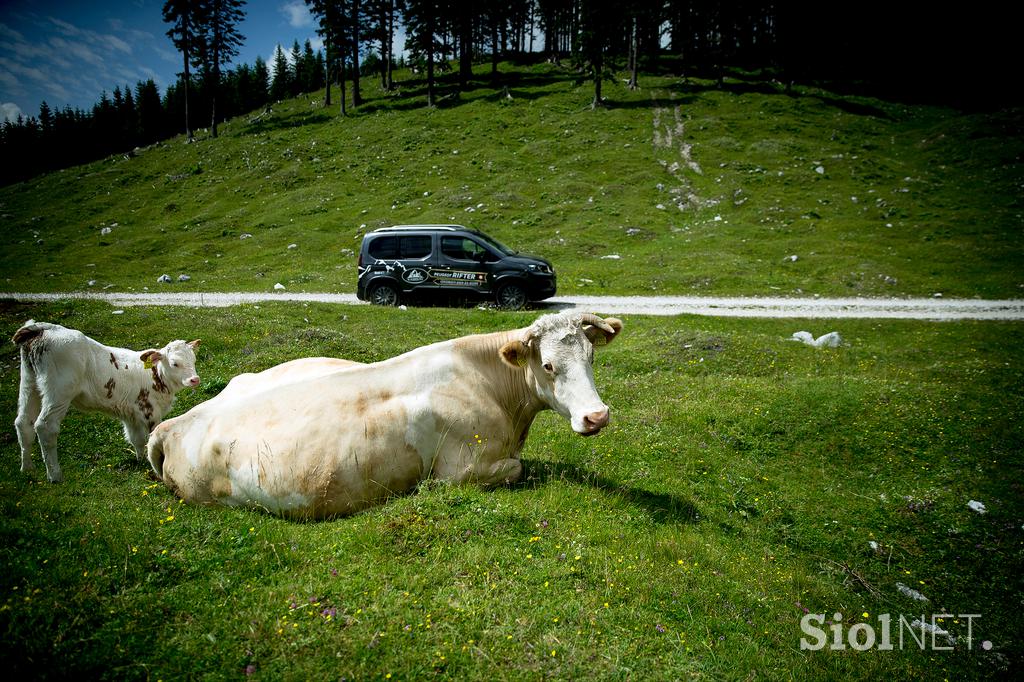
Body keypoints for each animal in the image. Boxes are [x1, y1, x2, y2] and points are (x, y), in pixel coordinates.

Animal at [14, 319, 200, 483]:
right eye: (175, 363)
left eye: (194, 360)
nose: (195, 379)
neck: (155, 375)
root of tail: (43, 328)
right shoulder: (150, 411)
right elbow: (151, 438)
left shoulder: (131, 413)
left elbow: (137, 439)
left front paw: (140, 461)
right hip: (59, 391)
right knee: (45, 427)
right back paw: (55, 476)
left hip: (29, 383)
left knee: (23, 423)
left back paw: (27, 469)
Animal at [147, 311, 618, 518]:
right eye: (548, 366)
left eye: (592, 356)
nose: (596, 417)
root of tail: (172, 425)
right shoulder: (462, 471)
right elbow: (519, 469)